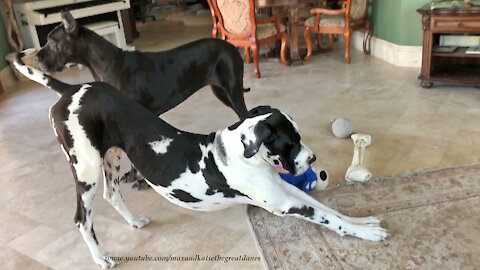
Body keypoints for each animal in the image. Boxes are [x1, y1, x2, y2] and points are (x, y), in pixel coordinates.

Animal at [15, 54, 388, 268]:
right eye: (290, 141)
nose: (313, 158)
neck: (240, 155)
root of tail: (70, 90)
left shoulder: (287, 191)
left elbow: (330, 209)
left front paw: (364, 221)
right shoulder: (285, 204)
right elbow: (329, 220)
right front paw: (366, 234)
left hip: (112, 160)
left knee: (112, 194)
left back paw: (134, 221)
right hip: (86, 171)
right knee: (82, 219)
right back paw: (100, 257)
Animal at [35, 11, 249, 190]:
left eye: (52, 41)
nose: (36, 58)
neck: (107, 64)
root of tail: (231, 45)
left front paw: (144, 182)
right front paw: (132, 176)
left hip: (232, 91)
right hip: (220, 92)